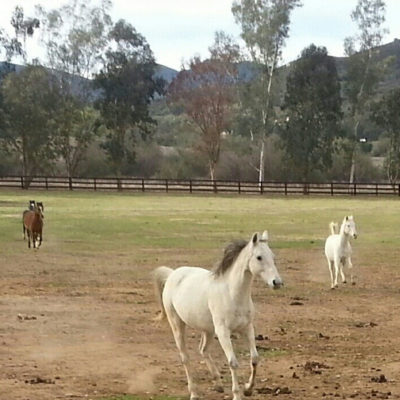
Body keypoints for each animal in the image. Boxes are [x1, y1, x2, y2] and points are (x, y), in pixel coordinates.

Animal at [152, 231, 282, 400]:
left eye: (272, 256)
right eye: (259, 257)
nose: (277, 282)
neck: (232, 294)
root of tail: (172, 274)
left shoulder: (247, 328)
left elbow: (254, 358)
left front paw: (248, 388)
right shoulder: (223, 332)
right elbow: (233, 362)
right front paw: (237, 394)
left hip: (208, 329)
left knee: (203, 350)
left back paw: (218, 384)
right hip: (177, 324)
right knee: (185, 358)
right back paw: (194, 392)